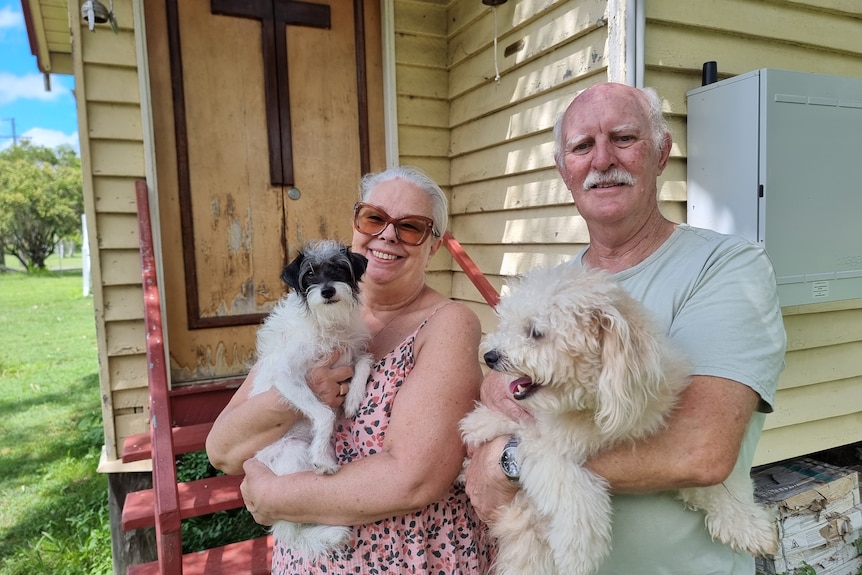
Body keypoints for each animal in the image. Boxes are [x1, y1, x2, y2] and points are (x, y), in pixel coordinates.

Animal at [248, 237, 372, 552]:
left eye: (339, 269)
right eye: (310, 274)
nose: (327, 291)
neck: (327, 322)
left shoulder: (350, 354)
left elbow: (365, 361)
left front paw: (353, 399)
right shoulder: (287, 375)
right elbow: (324, 412)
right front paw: (322, 461)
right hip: (292, 453)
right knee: (294, 525)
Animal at [462, 264, 780, 575]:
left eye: (536, 332)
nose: (490, 355)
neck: (591, 405)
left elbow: (721, 485)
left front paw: (748, 524)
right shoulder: (538, 443)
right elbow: (572, 488)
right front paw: (580, 550)